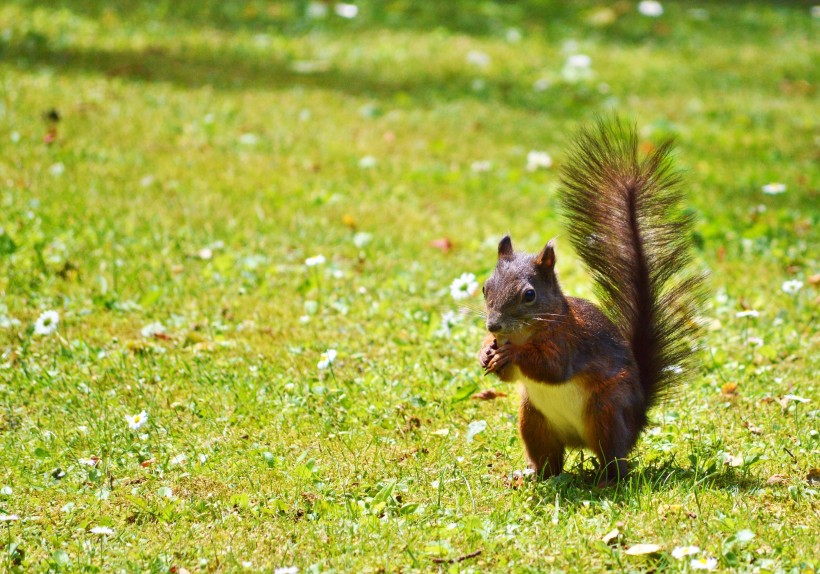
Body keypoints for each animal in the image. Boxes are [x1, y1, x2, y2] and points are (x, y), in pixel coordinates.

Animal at [480, 118, 704, 486]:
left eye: (529, 295)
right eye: (486, 287)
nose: (493, 325)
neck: (526, 333)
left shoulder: (570, 342)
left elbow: (552, 368)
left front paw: (514, 354)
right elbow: (509, 377)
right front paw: (486, 351)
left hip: (606, 412)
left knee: (615, 460)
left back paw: (606, 480)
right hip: (533, 420)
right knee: (551, 463)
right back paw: (532, 475)